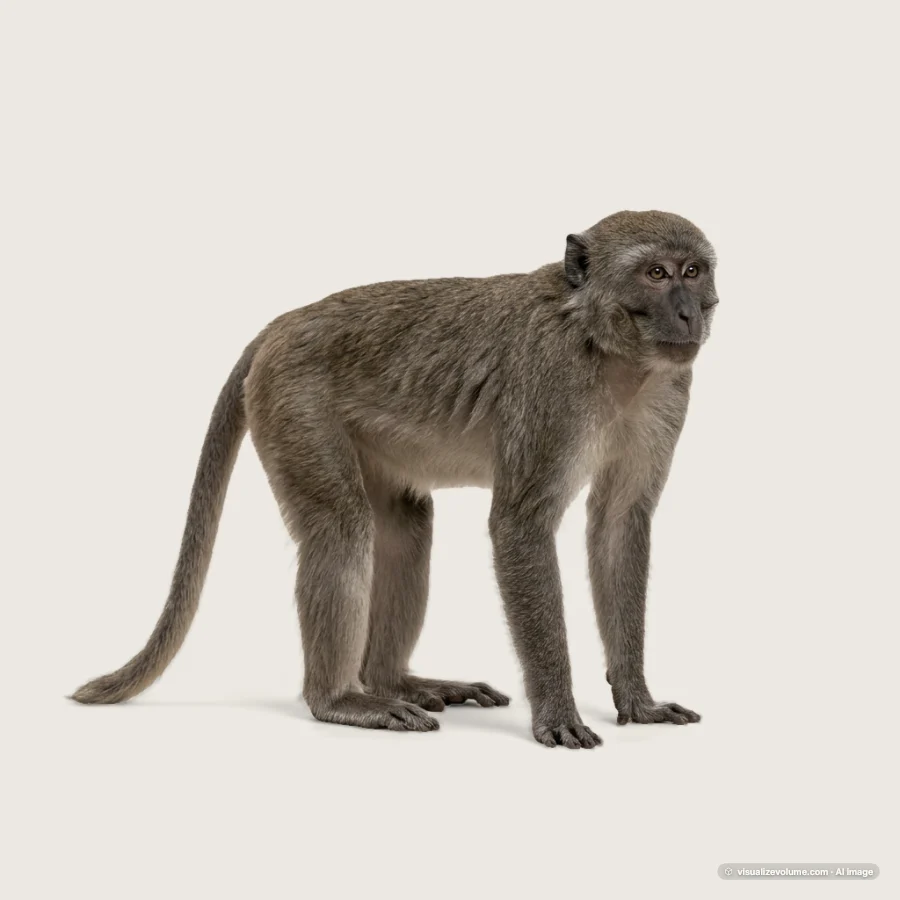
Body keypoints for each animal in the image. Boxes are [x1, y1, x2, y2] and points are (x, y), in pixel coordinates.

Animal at [72, 210, 718, 749]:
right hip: (292, 401)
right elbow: (520, 526)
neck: (608, 349)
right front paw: (557, 711)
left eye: (693, 271)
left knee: (407, 525)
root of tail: (282, 324)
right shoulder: (551, 383)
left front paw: (638, 700)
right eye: (656, 274)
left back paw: (392, 680)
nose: (692, 312)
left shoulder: (668, 391)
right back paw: (341, 698)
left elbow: (619, 525)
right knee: (341, 527)